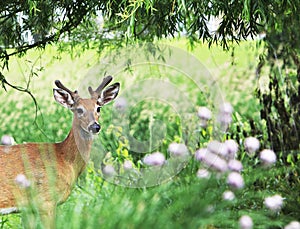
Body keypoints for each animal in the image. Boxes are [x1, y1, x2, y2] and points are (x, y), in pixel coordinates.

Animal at [0, 76, 119, 228]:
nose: (95, 126)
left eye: (98, 108)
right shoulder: (46, 202)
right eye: (79, 110)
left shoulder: (28, 209)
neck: (64, 159)